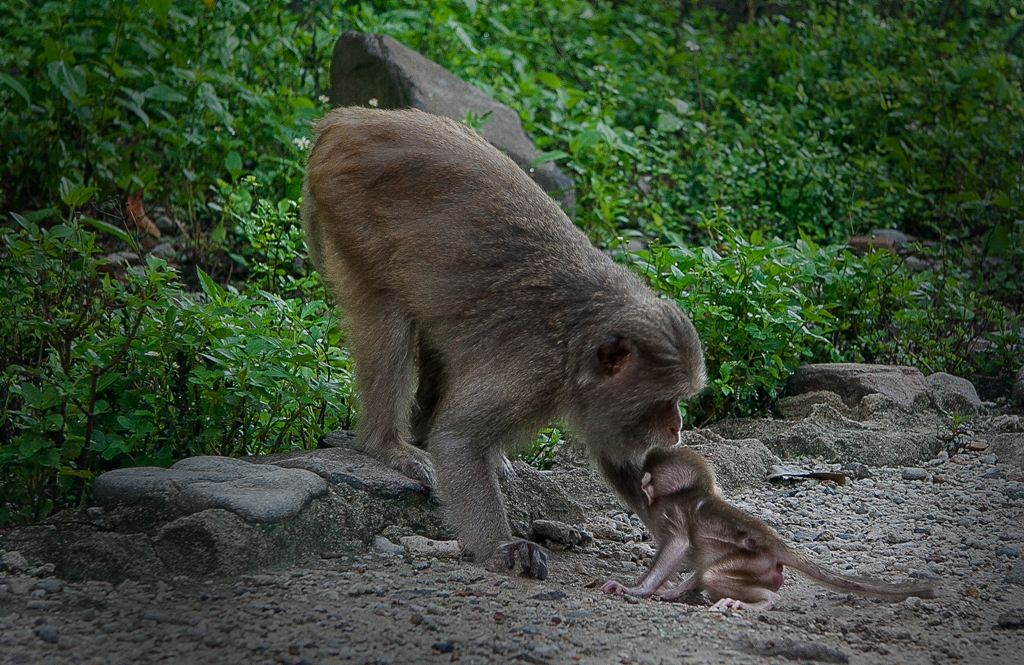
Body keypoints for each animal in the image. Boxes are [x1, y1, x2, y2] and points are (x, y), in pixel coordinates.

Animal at [301, 107, 706, 580]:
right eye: (663, 401)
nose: (677, 426)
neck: (579, 342)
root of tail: (347, 120)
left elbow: (623, 466)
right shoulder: (537, 374)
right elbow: (457, 441)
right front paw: (502, 545)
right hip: (348, 205)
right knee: (389, 314)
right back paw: (387, 444)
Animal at [601, 446, 936, 609]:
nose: (639, 487)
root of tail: (776, 543)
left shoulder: (670, 512)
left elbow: (678, 545)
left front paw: (637, 589)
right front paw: (672, 589)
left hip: (757, 561)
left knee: (713, 574)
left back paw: (762, 602)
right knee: (708, 571)